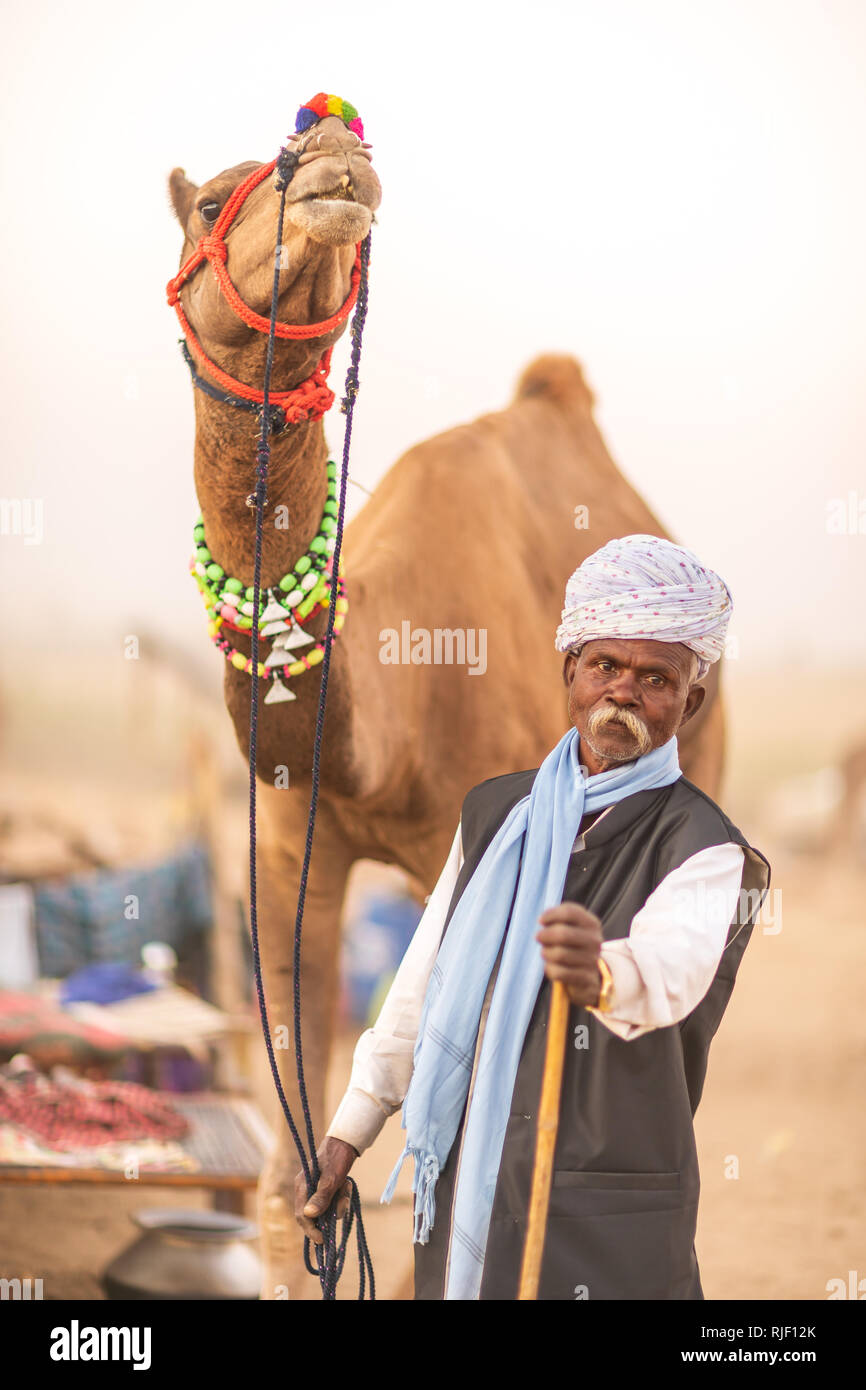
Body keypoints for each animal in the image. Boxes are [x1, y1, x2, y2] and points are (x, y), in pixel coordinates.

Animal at [167, 113, 722, 1295]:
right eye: (212, 203)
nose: (333, 148)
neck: (375, 731)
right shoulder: (288, 847)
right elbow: (287, 1179)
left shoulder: (447, 850)